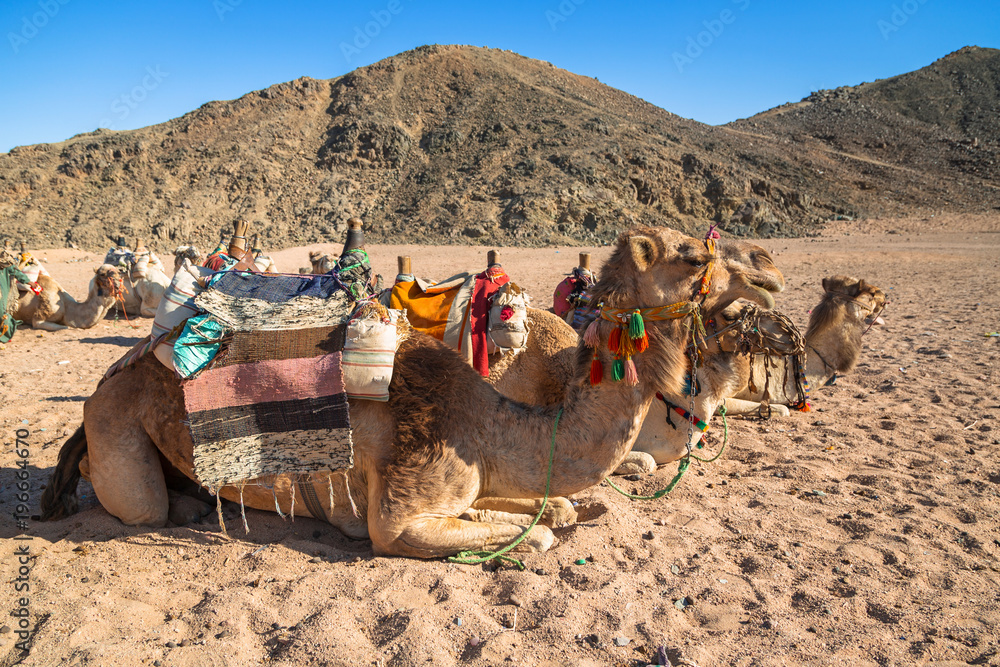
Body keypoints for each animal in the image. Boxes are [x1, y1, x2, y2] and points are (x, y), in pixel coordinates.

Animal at [45, 227, 780, 560]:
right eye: (692, 256)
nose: (770, 272)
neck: (490, 420)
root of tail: (112, 377)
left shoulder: (482, 478)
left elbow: (559, 507)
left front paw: (554, 511)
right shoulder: (400, 514)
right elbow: (542, 533)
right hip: (118, 431)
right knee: (135, 499)